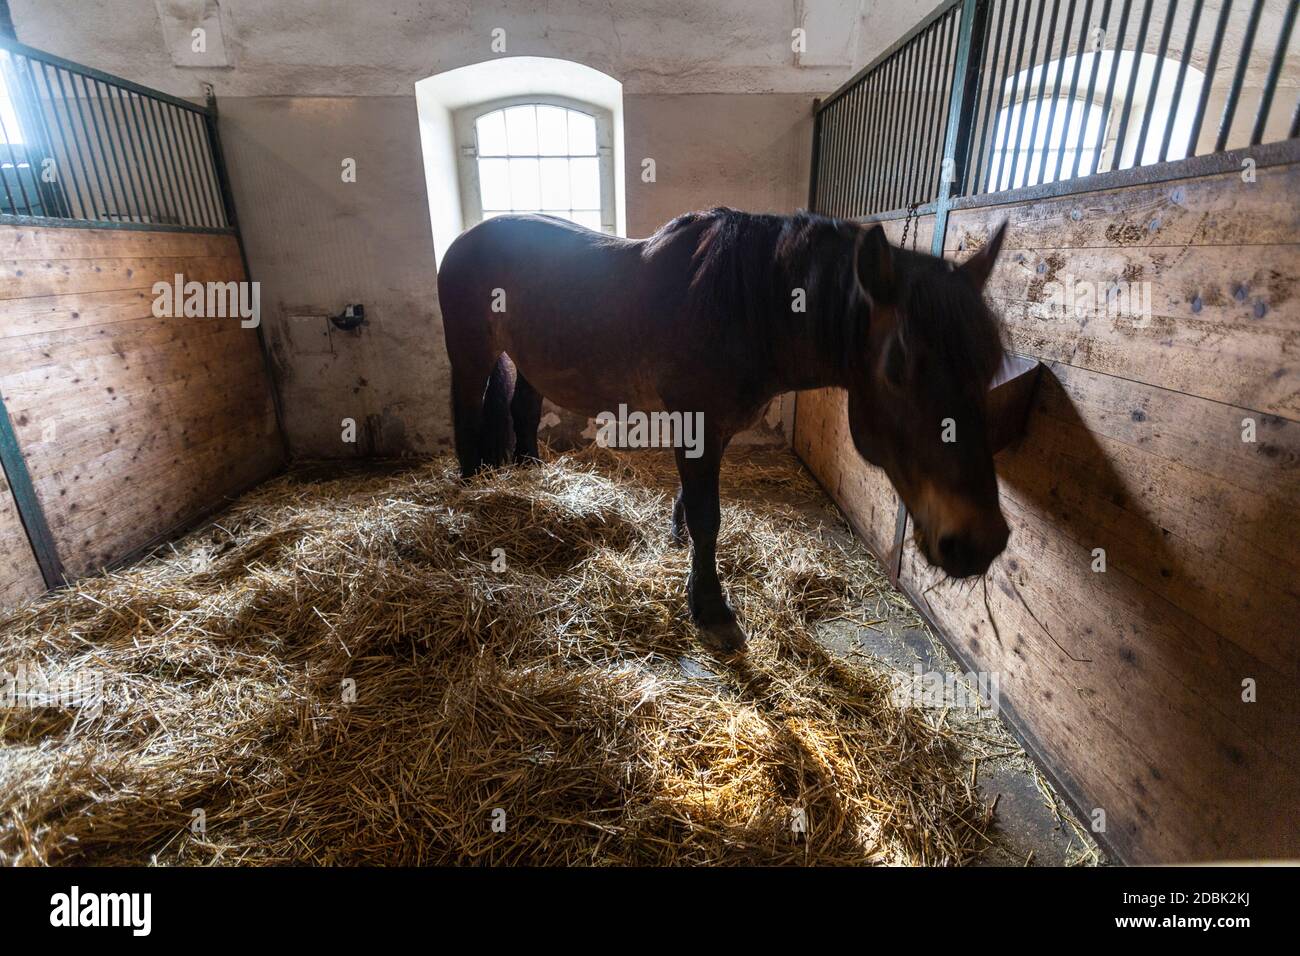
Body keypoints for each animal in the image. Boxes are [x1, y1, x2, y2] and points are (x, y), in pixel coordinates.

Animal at [436, 210, 1013, 655]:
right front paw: (712, 609)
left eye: (991, 365)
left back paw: (529, 478)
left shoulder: (715, 426)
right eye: (896, 367)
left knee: (522, 412)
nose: (978, 541)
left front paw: (683, 551)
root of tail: (464, 237)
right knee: (467, 415)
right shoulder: (699, 421)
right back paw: (472, 493)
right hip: (471, 353)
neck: (743, 306)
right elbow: (707, 516)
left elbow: (694, 504)